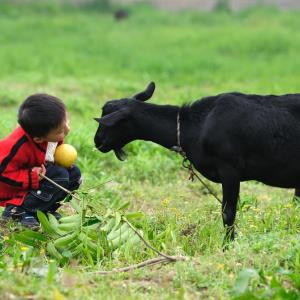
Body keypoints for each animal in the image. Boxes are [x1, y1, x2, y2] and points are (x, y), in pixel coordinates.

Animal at [94, 82, 300, 244]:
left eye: (108, 122)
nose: (97, 141)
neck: (196, 126)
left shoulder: (230, 170)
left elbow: (228, 213)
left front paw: (227, 245)